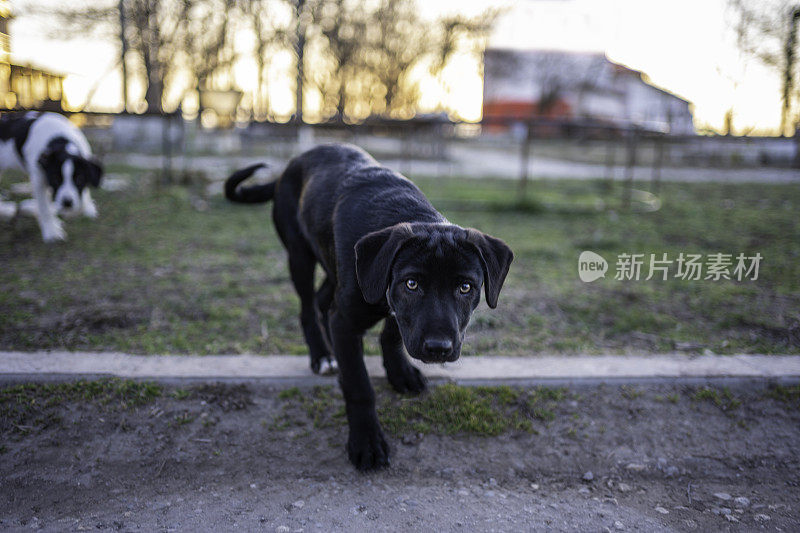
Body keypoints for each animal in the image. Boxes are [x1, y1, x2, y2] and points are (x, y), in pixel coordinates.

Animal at [0, 111, 103, 242]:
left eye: (79, 179)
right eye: (56, 179)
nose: (67, 203)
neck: (60, 140)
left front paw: (87, 207)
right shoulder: (39, 180)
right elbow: (45, 208)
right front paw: (51, 231)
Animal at [225, 143, 512, 468]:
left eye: (465, 287)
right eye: (411, 284)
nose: (438, 348)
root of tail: (289, 167)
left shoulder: (391, 313)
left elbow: (392, 334)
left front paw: (401, 373)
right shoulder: (347, 321)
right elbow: (359, 385)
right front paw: (367, 442)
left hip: (332, 266)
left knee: (323, 301)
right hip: (299, 254)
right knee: (308, 308)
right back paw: (322, 355)